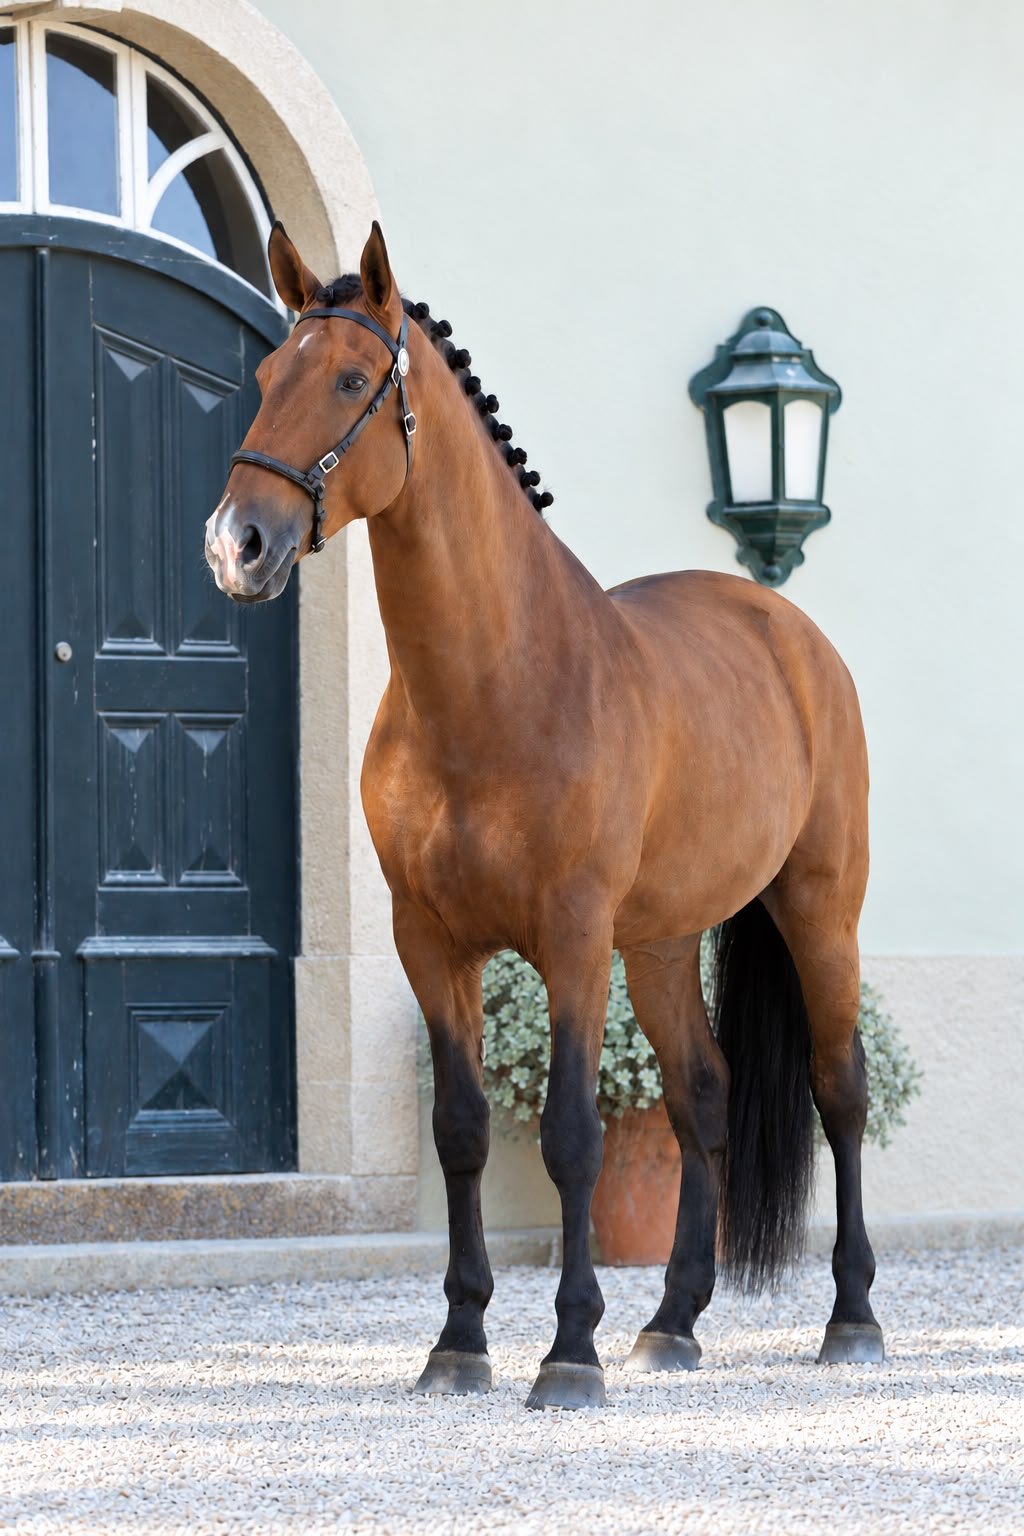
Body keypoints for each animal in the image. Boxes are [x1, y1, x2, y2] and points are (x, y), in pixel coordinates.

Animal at [205, 220, 884, 1410]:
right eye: (265, 376)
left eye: (349, 381)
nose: (237, 543)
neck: (494, 684)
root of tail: (787, 627)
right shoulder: (430, 942)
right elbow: (462, 1130)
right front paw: (459, 1342)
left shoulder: (571, 937)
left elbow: (572, 1135)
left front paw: (568, 1351)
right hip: (660, 944)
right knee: (702, 1097)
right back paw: (671, 1323)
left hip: (817, 910)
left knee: (836, 1093)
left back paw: (851, 1319)